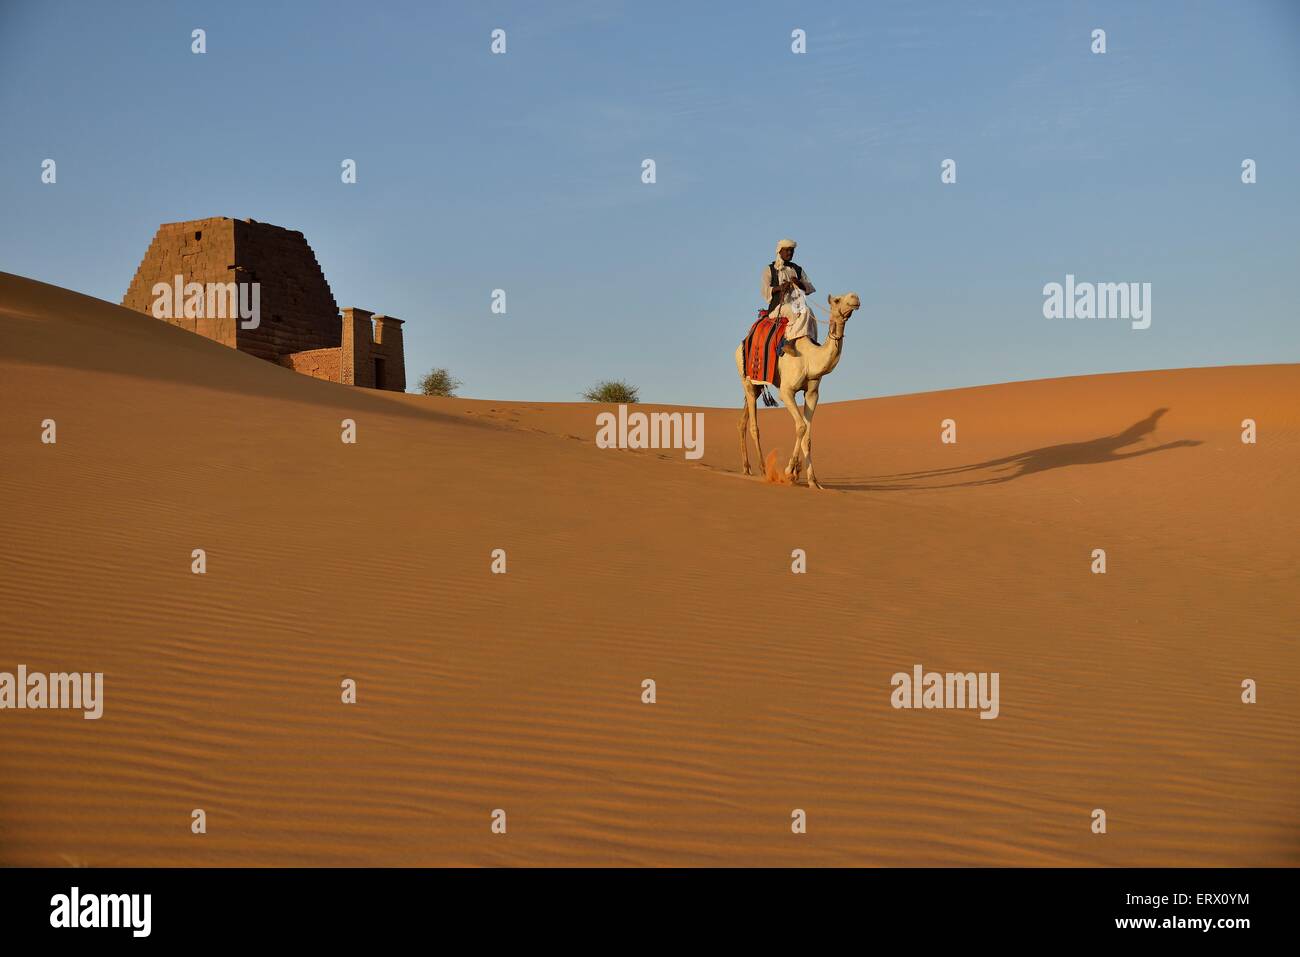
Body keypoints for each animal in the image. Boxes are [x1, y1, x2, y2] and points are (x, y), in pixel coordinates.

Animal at [738, 291, 857, 486]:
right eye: (837, 300)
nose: (855, 298)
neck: (810, 359)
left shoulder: (812, 393)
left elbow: (807, 436)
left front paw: (812, 481)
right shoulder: (786, 391)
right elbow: (801, 426)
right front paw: (790, 471)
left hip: (756, 387)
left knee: (742, 421)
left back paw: (746, 468)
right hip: (746, 379)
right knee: (754, 426)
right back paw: (763, 469)